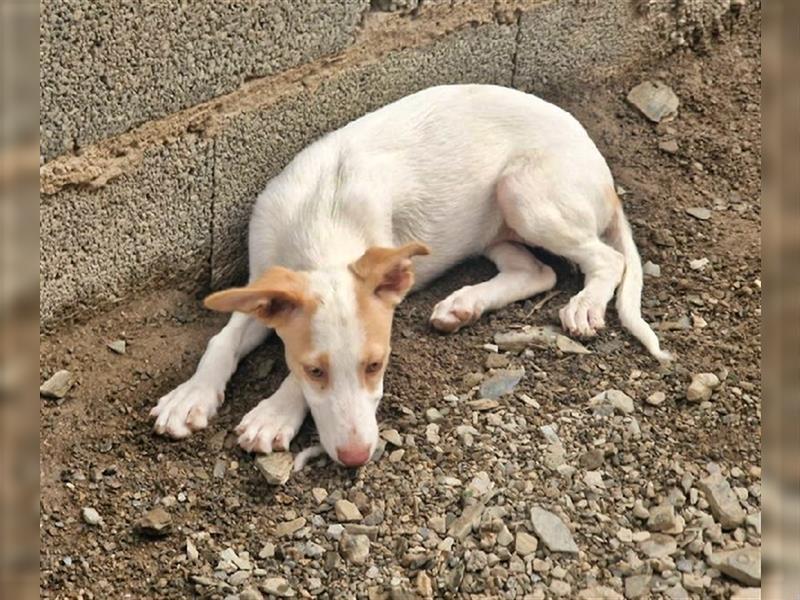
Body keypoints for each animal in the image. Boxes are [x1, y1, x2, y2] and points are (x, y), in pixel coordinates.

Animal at [148, 84, 668, 468]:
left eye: (376, 365)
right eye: (317, 370)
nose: (357, 458)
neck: (321, 219)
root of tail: (602, 168)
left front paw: (273, 414)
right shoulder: (263, 283)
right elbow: (223, 340)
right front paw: (191, 396)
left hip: (526, 193)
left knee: (607, 259)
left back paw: (584, 305)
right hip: (495, 223)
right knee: (536, 271)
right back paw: (464, 305)